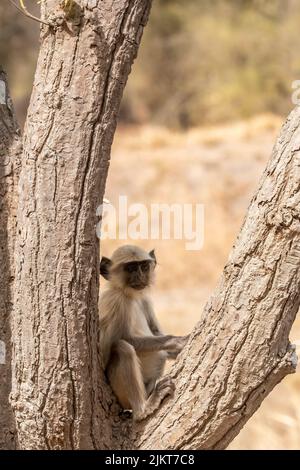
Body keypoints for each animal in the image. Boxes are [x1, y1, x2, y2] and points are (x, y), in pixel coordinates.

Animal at [99, 244, 188, 420]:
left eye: (144, 267)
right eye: (131, 268)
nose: (140, 277)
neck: (129, 296)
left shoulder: (144, 299)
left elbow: (155, 331)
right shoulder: (115, 301)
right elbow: (114, 343)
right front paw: (175, 341)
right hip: (118, 392)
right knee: (123, 347)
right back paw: (143, 409)